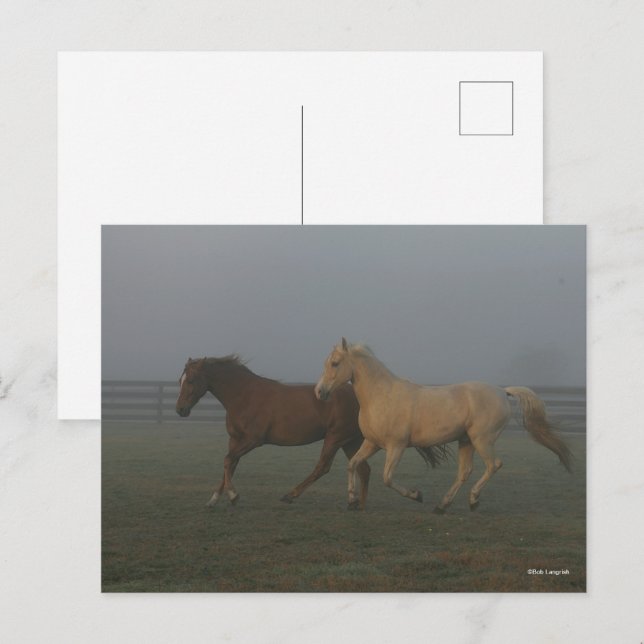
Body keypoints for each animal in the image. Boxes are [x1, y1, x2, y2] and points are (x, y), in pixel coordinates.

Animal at [175, 355, 372, 508]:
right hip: (349, 441)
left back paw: (290, 496)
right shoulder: (235, 439)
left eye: (191, 380)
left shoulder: (253, 440)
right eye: (180, 381)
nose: (180, 409)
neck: (244, 396)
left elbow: (228, 460)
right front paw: (213, 500)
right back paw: (357, 504)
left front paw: (233, 496)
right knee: (362, 468)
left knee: (323, 467)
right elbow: (230, 464)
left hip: (335, 437)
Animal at [314, 338, 573, 513]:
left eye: (335, 363)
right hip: (466, 441)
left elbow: (387, 478)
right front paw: (351, 500)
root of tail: (502, 391)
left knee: (493, 465)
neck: (382, 396)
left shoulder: (396, 446)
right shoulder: (372, 443)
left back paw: (473, 500)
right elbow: (353, 465)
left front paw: (416, 495)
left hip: (482, 439)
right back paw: (442, 505)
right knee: (465, 472)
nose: (319, 392)